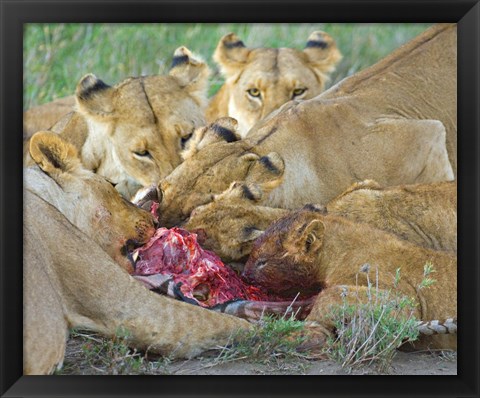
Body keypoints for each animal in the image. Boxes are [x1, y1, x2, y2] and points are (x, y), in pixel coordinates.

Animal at [244, 207, 458, 350]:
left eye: (262, 262)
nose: (245, 275)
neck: (335, 253)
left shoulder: (406, 300)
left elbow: (329, 295)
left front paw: (300, 333)